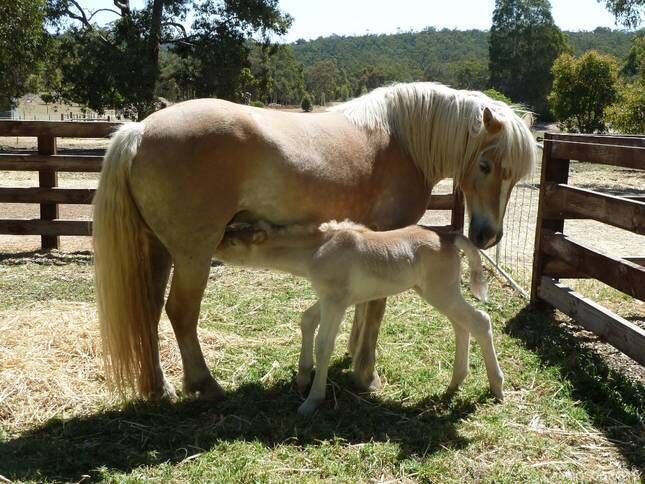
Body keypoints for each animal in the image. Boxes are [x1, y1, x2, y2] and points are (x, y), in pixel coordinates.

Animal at [216, 221, 504, 414]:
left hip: (441, 291)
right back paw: (455, 382)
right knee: (462, 325)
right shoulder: (330, 298)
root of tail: (449, 236)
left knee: (480, 321)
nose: (213, 248)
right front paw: (302, 376)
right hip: (436, 292)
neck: (316, 251)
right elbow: (306, 320)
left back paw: (497, 387)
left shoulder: (335, 301)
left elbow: (324, 345)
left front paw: (312, 401)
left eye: (232, 242)